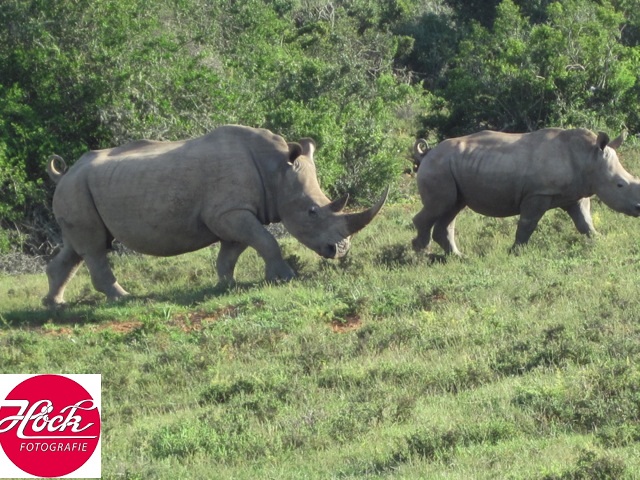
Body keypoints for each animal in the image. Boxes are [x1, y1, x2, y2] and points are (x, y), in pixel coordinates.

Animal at [44, 125, 387, 306]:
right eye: (312, 212)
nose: (340, 250)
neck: (276, 170)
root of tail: (64, 173)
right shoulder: (228, 212)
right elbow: (266, 242)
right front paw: (285, 278)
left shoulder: (235, 212)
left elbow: (233, 251)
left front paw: (226, 285)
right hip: (77, 189)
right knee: (94, 248)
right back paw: (123, 298)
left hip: (78, 190)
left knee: (77, 248)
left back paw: (55, 305)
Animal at [412, 128, 638, 255]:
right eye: (620, 185)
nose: (638, 207)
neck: (588, 157)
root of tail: (427, 154)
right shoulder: (538, 193)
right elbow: (527, 224)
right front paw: (515, 252)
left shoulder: (576, 194)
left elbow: (585, 222)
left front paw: (600, 241)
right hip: (438, 167)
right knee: (440, 206)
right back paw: (420, 252)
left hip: (450, 168)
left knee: (452, 208)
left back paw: (458, 257)